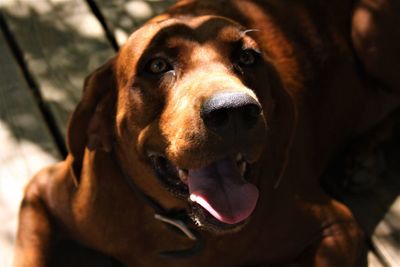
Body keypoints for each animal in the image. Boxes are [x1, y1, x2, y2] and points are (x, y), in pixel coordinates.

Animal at [11, 0, 400, 267]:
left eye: (248, 58)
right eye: (157, 65)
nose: (235, 111)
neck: (179, 227)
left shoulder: (338, 227)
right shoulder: (42, 192)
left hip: (367, 31)